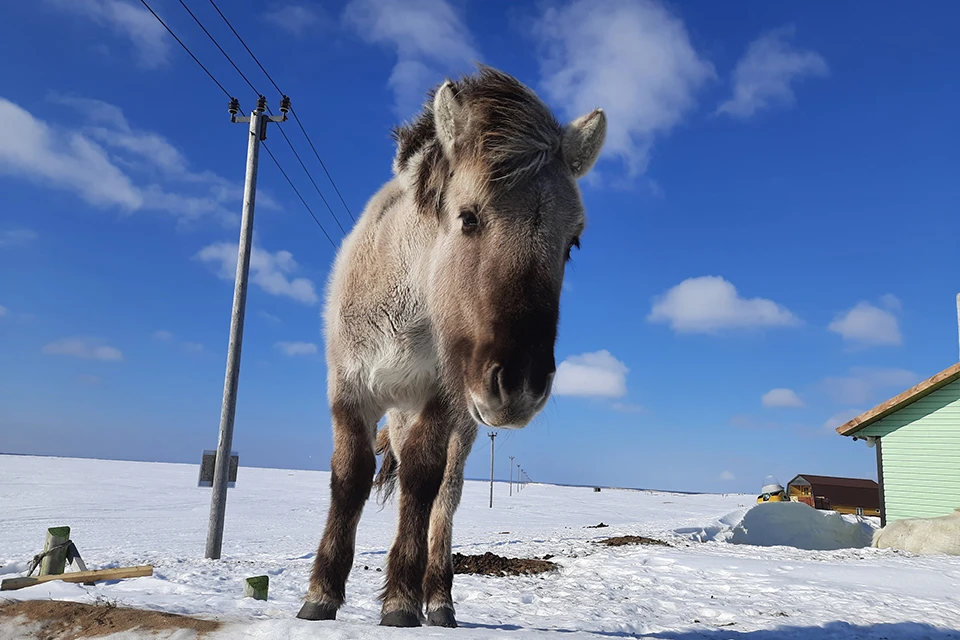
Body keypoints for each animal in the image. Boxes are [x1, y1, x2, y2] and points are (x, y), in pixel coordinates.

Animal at [296, 63, 604, 624]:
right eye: (468, 217)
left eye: (571, 242)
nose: (520, 384)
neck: (404, 308)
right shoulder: (348, 389)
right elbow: (349, 476)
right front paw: (321, 595)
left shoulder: (440, 401)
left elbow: (422, 482)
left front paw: (401, 599)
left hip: (462, 428)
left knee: (445, 496)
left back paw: (436, 599)